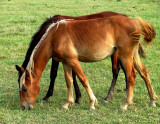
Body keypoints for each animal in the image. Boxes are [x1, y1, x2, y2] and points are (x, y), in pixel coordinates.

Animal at [15, 14, 156, 110]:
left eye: (25, 89)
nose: (24, 107)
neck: (55, 36)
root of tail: (134, 23)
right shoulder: (66, 62)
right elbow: (69, 81)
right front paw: (68, 103)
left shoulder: (73, 60)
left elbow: (83, 79)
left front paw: (92, 102)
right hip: (133, 56)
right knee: (144, 73)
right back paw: (152, 100)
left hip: (125, 56)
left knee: (131, 76)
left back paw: (126, 104)